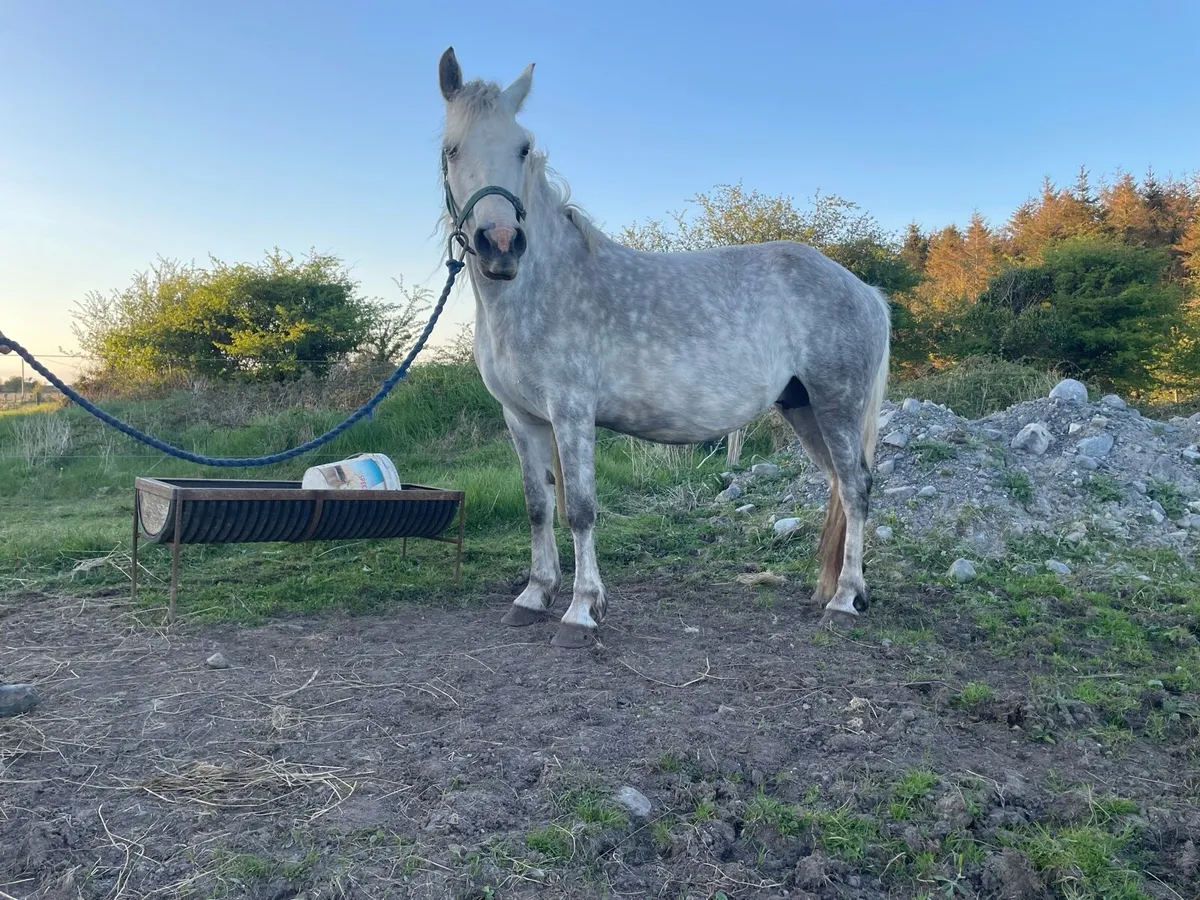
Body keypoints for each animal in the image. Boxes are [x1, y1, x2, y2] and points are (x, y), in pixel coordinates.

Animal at [436, 47, 891, 648]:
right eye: (452, 148)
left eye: (523, 147)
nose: (501, 245)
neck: (539, 287)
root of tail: (865, 291)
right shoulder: (522, 417)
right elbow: (538, 507)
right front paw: (533, 597)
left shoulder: (571, 412)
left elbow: (580, 509)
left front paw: (580, 611)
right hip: (804, 408)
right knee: (841, 485)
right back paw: (837, 591)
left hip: (837, 404)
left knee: (857, 488)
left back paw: (843, 601)